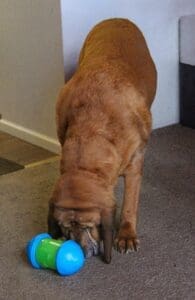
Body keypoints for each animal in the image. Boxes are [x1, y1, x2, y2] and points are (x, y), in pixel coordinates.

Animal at [48, 18, 157, 262]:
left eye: (89, 226)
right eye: (66, 228)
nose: (83, 252)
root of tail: (116, 19)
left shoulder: (135, 162)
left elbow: (129, 204)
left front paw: (126, 235)